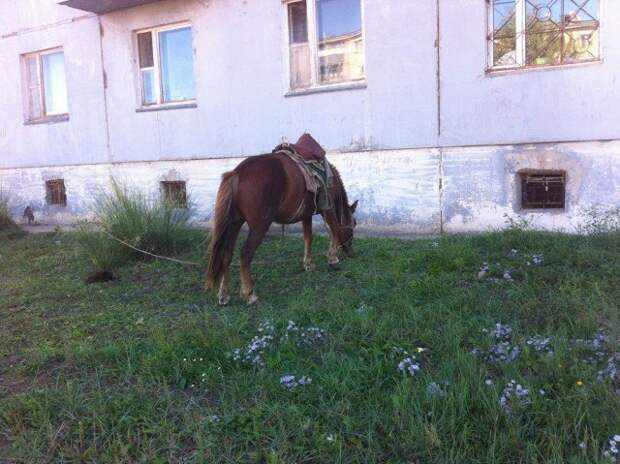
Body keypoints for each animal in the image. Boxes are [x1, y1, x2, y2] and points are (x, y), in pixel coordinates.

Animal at [206, 151, 356, 304]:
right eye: (353, 226)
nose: (351, 253)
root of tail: (238, 173)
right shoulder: (328, 209)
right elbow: (335, 230)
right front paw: (333, 259)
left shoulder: (306, 214)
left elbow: (308, 237)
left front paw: (308, 264)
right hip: (260, 225)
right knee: (246, 253)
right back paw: (249, 293)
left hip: (235, 223)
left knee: (226, 253)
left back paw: (224, 294)